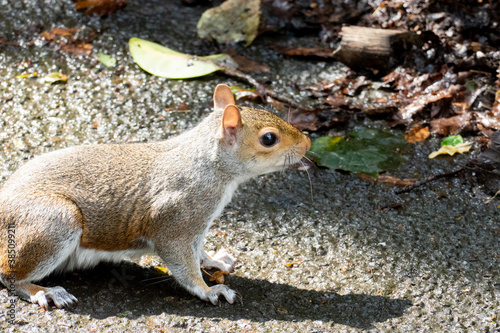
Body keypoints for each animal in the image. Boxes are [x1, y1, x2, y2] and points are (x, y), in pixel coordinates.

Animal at [0, 84, 310, 308]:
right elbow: (183, 264)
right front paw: (210, 290)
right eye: (269, 139)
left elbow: (199, 253)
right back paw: (45, 292)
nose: (307, 142)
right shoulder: (174, 220)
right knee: (9, 276)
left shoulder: (196, 229)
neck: (210, 167)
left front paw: (217, 261)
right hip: (55, 222)